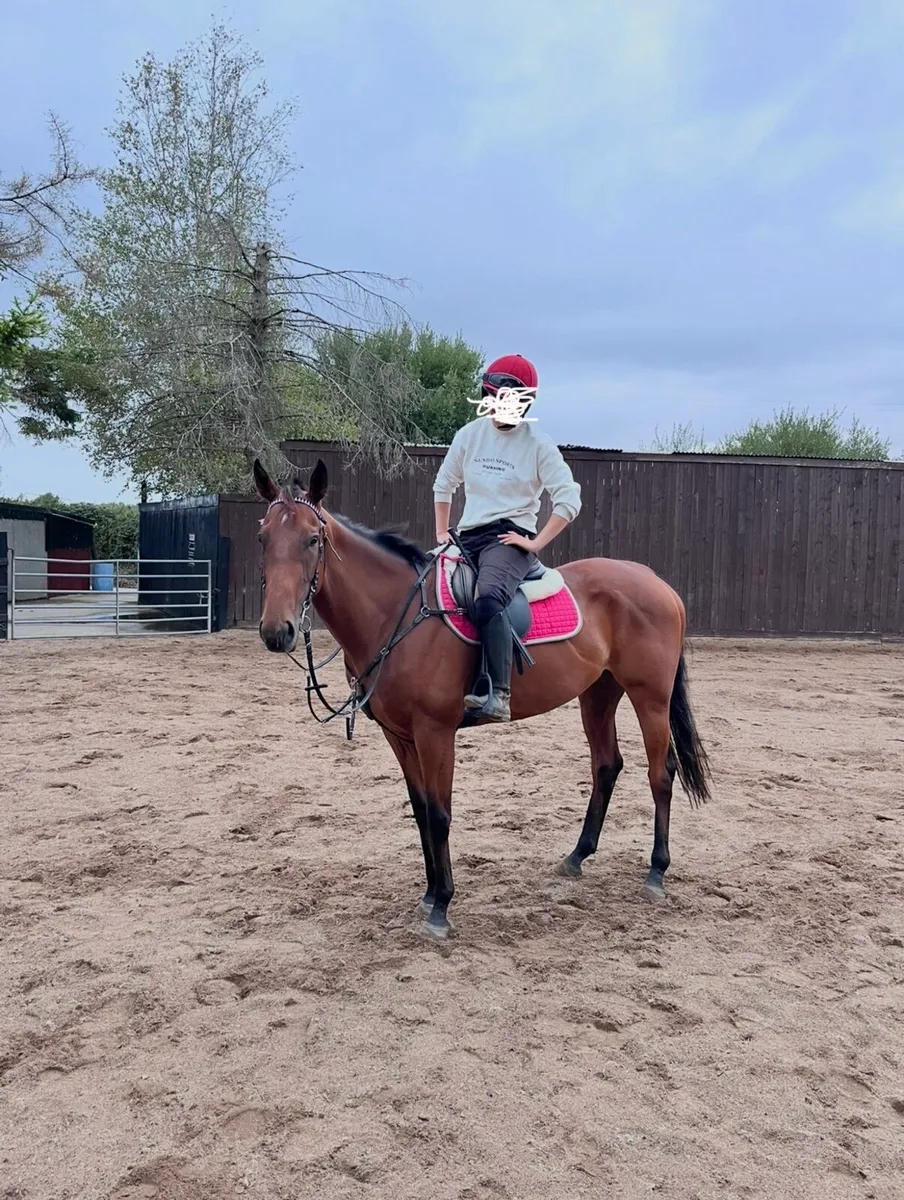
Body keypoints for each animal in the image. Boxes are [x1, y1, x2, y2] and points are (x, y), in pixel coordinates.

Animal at [254, 457, 711, 939]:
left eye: (312, 539)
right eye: (263, 537)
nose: (277, 631)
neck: (396, 612)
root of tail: (657, 582)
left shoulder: (435, 733)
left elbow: (440, 814)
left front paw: (441, 907)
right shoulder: (400, 735)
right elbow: (420, 810)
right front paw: (429, 894)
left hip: (650, 698)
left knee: (661, 774)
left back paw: (656, 872)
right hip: (598, 694)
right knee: (607, 766)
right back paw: (576, 856)